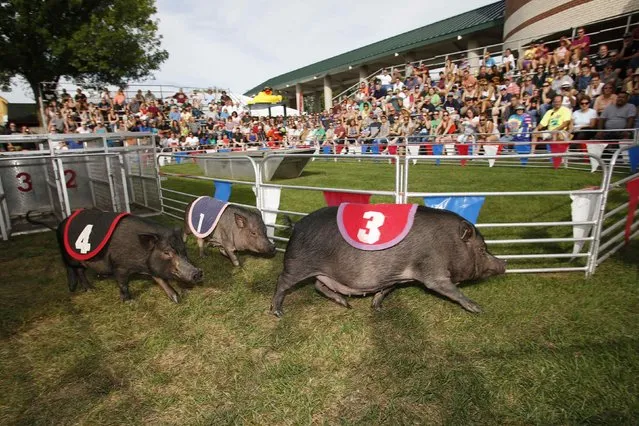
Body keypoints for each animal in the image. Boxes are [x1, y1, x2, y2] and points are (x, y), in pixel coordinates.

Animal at [27, 210, 201, 302]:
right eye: (166, 252)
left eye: (183, 250)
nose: (197, 272)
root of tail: (59, 225)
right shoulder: (120, 266)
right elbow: (123, 283)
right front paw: (130, 301)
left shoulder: (151, 267)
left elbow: (161, 279)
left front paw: (176, 298)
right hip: (70, 257)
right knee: (71, 268)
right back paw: (79, 288)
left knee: (81, 271)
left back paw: (92, 287)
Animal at [272, 205, 508, 318]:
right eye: (482, 249)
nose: (504, 265)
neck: (449, 243)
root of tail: (296, 225)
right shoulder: (433, 269)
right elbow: (449, 289)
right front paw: (477, 309)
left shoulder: (394, 276)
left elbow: (386, 290)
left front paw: (378, 308)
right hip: (297, 264)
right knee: (282, 282)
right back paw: (278, 313)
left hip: (324, 273)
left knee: (319, 286)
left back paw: (346, 304)